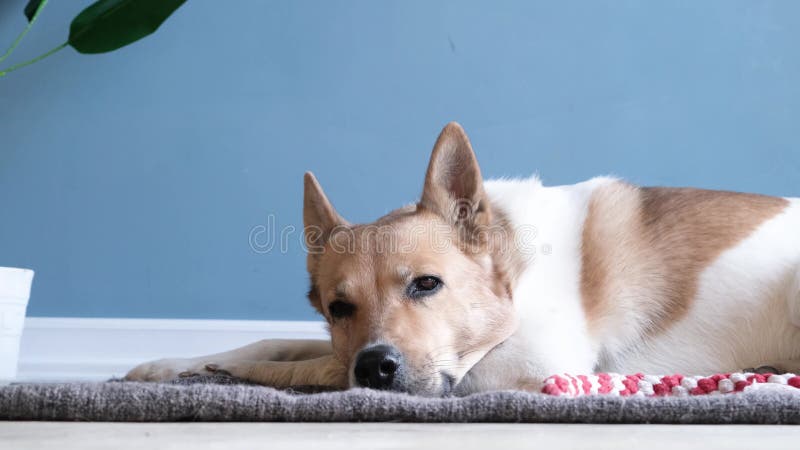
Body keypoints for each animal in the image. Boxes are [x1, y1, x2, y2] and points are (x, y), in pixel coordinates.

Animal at [125, 121, 800, 396]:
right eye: (339, 307)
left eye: (427, 284)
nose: (376, 367)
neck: (511, 273)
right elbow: (275, 343)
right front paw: (170, 365)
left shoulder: (527, 363)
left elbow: (312, 368)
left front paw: (231, 373)